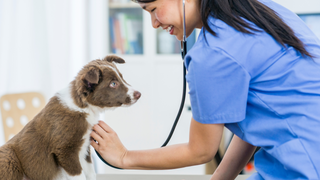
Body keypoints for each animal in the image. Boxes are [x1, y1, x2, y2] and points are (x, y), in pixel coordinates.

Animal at [0, 55, 141, 179]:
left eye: (121, 78)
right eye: (113, 84)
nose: (139, 94)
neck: (83, 107)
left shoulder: (85, 147)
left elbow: (90, 173)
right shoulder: (65, 150)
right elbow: (79, 176)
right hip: (9, 157)